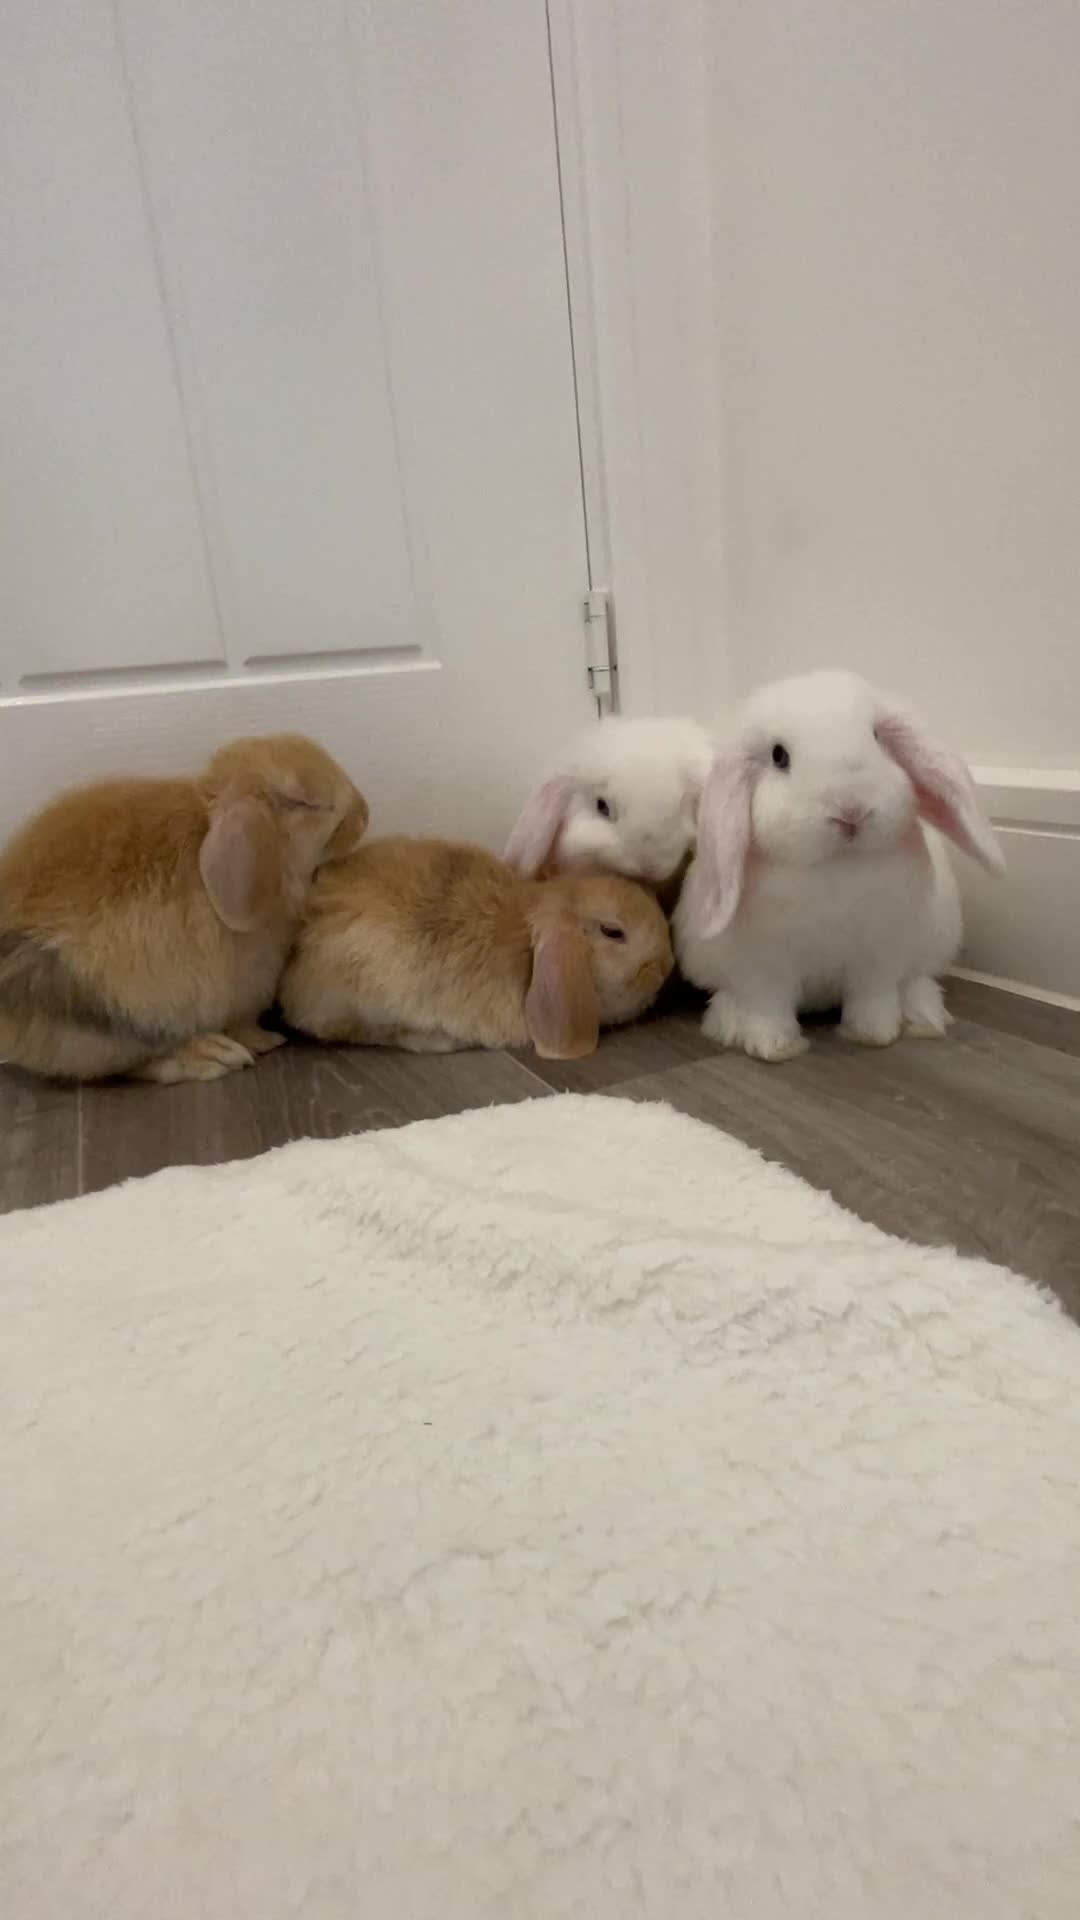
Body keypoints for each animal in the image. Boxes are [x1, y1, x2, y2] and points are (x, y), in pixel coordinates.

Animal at [0, 734, 368, 1084]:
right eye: (305, 803)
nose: (364, 814)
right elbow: (242, 1023)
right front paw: (265, 1040)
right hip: (113, 1017)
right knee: (130, 1063)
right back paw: (212, 1056)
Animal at [674, 670, 1005, 1063]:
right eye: (779, 756)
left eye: (876, 737)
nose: (851, 809)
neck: (836, 863)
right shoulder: (764, 966)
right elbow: (768, 1007)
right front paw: (774, 1047)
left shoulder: (878, 954)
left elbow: (873, 998)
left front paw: (875, 1034)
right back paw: (728, 1023)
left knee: (916, 981)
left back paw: (923, 1017)